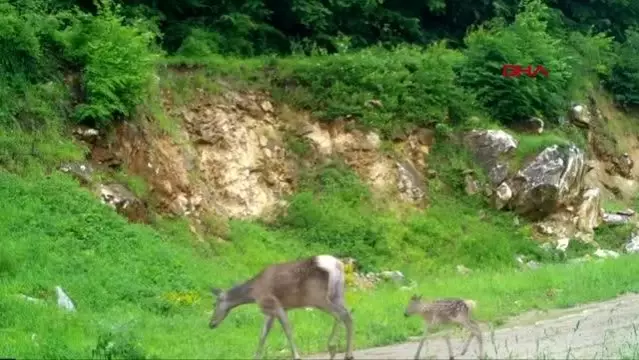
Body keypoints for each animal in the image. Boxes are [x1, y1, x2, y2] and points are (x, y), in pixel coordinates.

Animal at [210, 255, 356, 360]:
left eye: (214, 303)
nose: (211, 324)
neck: (253, 294)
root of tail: (338, 265)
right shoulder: (270, 312)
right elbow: (263, 334)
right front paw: (256, 356)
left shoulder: (275, 305)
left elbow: (287, 330)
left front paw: (296, 355)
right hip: (337, 294)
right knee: (347, 314)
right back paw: (346, 353)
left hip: (318, 297)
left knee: (341, 315)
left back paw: (334, 348)